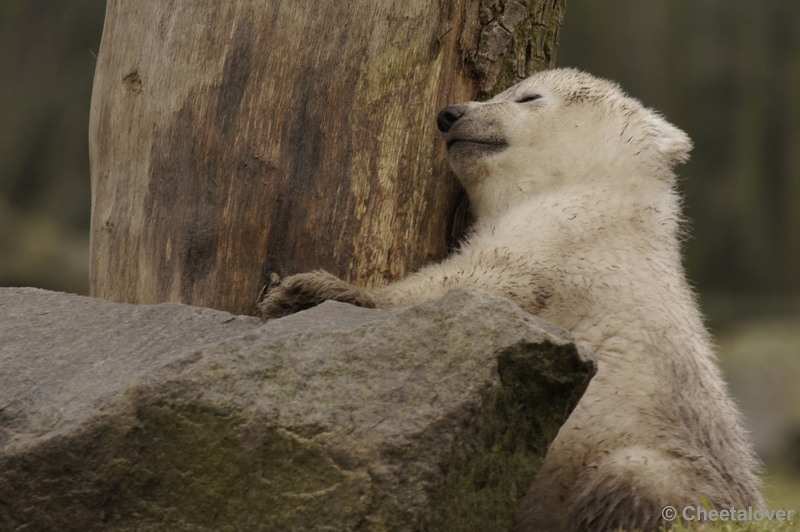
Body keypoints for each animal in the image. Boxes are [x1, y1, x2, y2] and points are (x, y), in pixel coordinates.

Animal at [260, 68, 764, 528]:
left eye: (527, 96)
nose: (450, 115)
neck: (609, 196)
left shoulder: (565, 238)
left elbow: (475, 285)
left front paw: (308, 291)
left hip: (664, 466)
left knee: (630, 484)